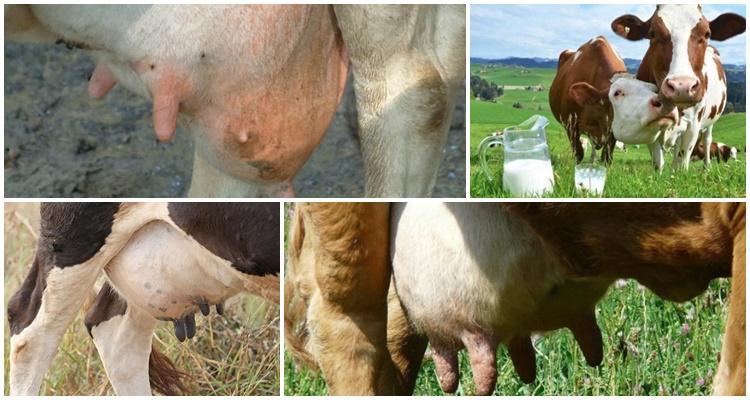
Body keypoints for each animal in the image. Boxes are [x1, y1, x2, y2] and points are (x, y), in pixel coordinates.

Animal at [550, 37, 679, 166]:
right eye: (617, 92)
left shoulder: (612, 132)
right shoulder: (570, 126)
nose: (666, 104)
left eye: (654, 90)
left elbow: (607, 157)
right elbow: (579, 154)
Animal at [611, 5, 746, 170]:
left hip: (709, 121)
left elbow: (683, 161)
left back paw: (706, 167)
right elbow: (658, 162)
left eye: (707, 33)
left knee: (706, 140)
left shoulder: (693, 125)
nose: (682, 87)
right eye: (652, 33)